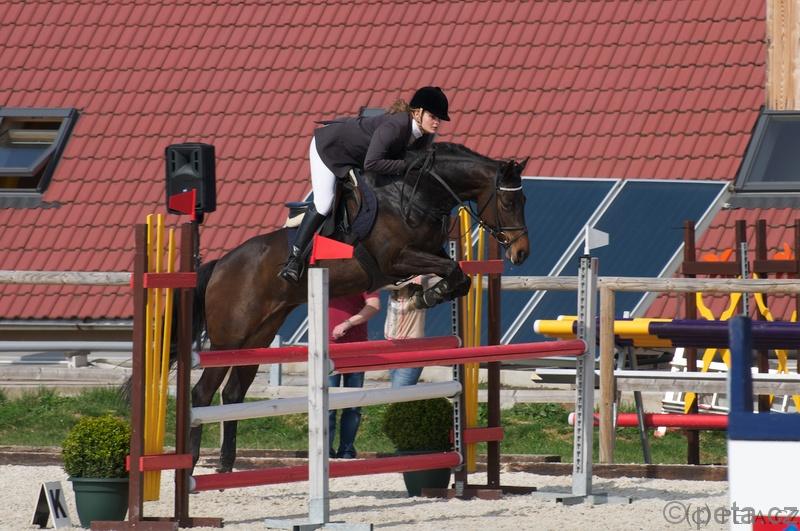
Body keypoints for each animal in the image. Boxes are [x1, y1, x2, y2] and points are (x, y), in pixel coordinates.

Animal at [190, 142, 531, 472]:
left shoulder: (427, 252)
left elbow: (459, 276)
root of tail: (221, 264)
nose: (521, 253)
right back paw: (193, 465)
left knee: (233, 393)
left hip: (258, 337)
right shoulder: (396, 260)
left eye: (524, 200)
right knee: (202, 393)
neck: (417, 195)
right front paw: (427, 295)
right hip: (228, 340)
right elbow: (453, 269)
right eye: (508, 203)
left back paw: (225, 464)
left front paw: (428, 295)